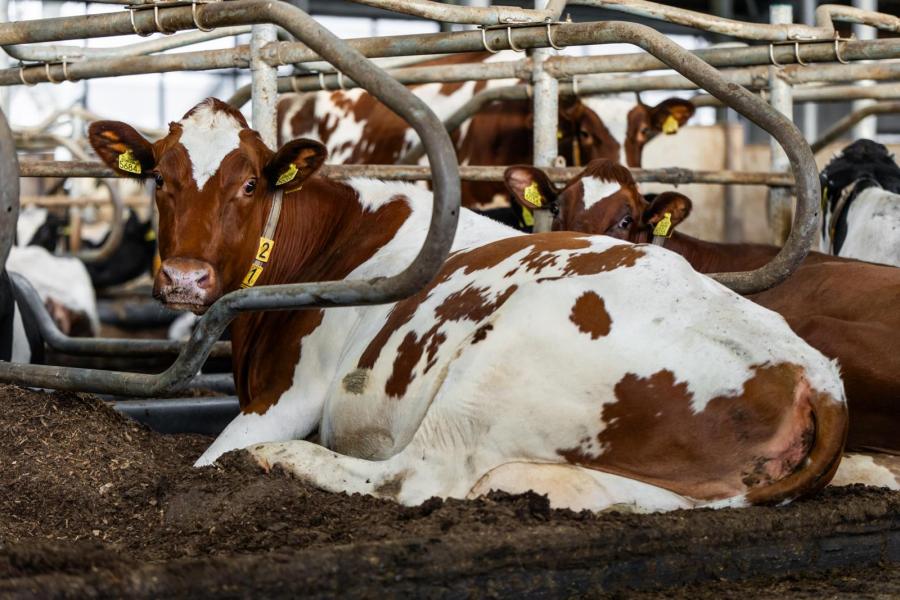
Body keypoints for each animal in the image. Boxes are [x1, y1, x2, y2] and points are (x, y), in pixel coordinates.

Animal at [87, 98, 847, 513]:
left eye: (249, 184)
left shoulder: (288, 394)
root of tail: (812, 376)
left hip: (497, 365)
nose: (185, 278)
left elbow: (207, 461)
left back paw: (286, 460)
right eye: (159, 177)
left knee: (412, 477)